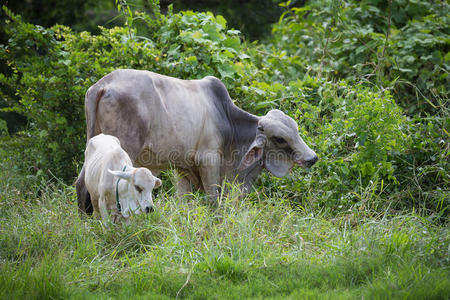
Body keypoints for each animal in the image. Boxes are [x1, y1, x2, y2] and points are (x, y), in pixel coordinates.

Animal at [75, 69, 318, 212]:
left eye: (296, 130)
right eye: (280, 139)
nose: (312, 158)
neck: (228, 122)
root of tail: (103, 85)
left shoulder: (182, 168)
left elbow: (184, 201)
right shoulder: (208, 160)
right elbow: (213, 199)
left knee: (81, 185)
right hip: (125, 148)